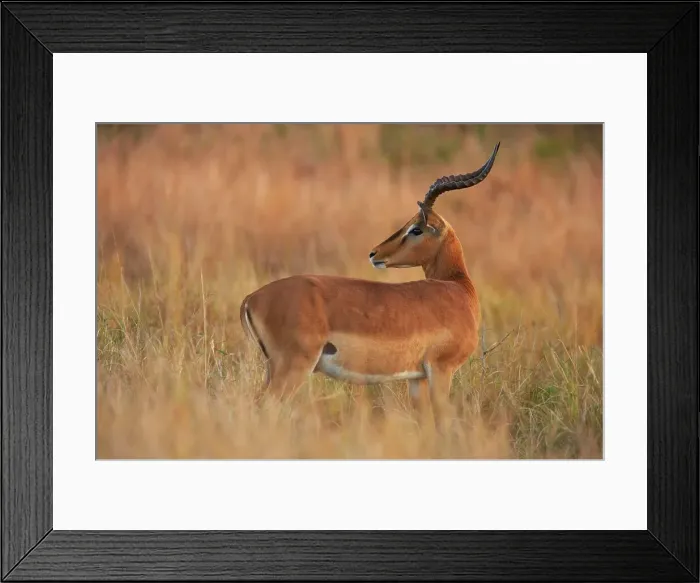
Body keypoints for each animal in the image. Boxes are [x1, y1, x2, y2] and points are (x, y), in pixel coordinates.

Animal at [240, 143, 500, 419]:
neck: (458, 288)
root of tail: (251, 299)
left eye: (415, 228)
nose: (375, 254)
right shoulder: (441, 369)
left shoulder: (417, 377)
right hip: (293, 368)